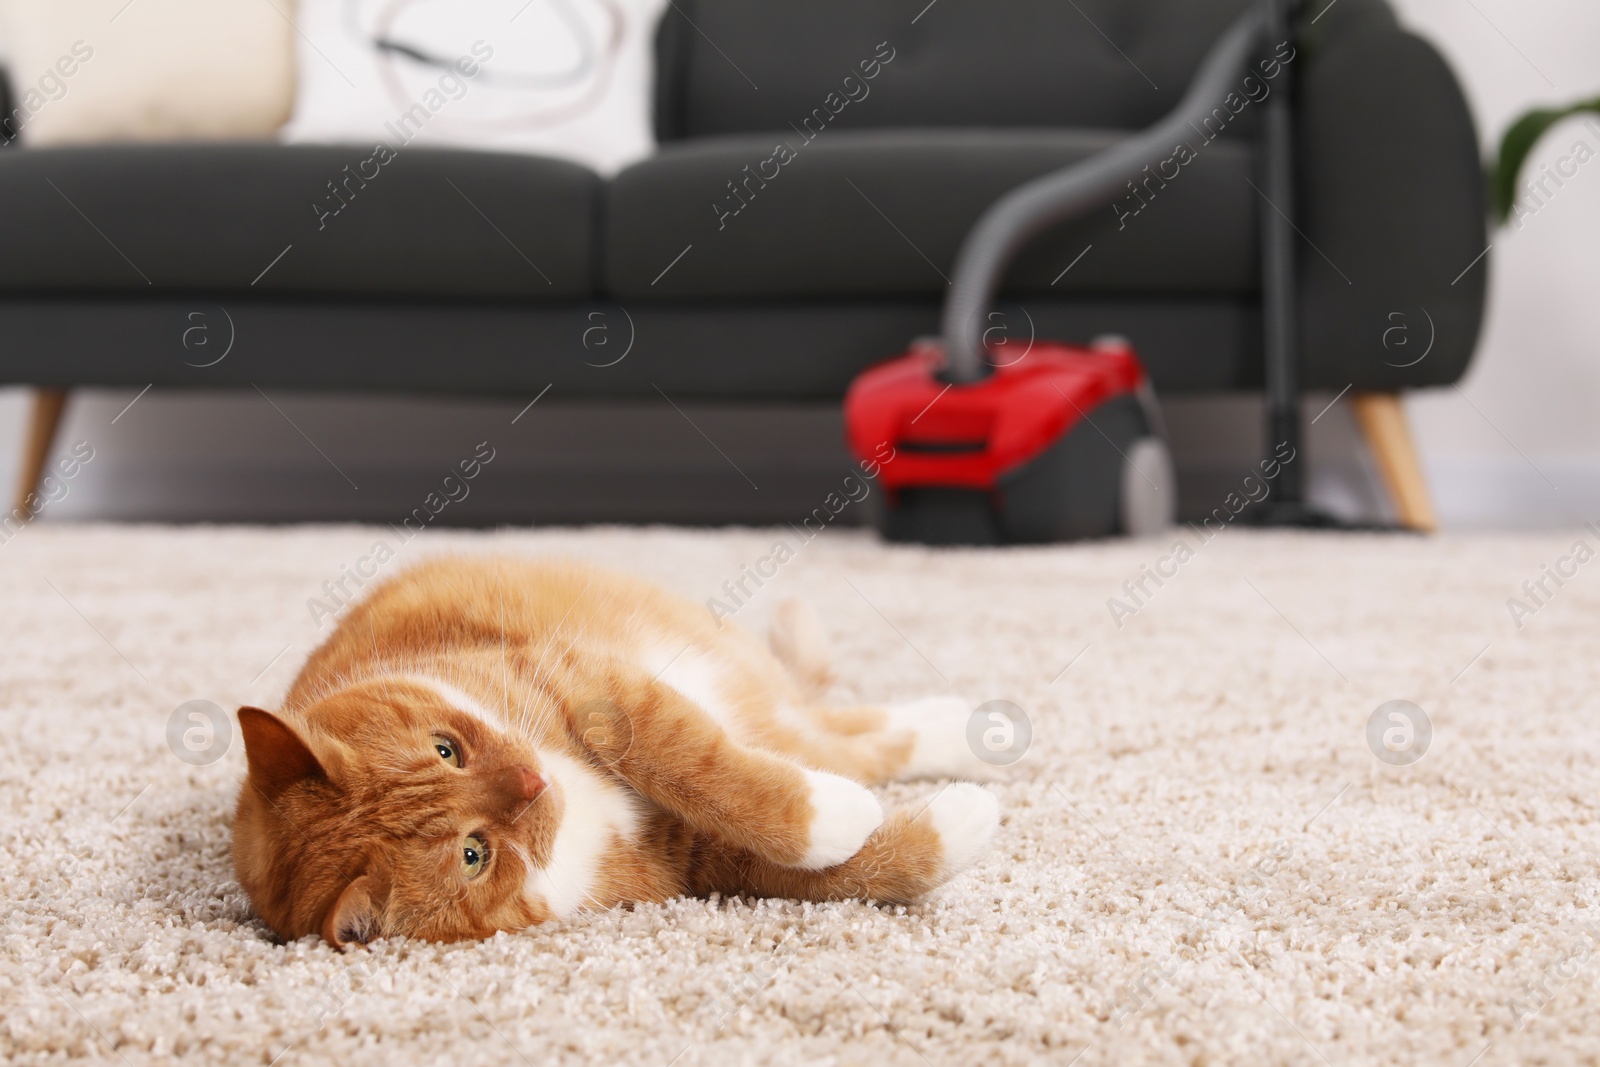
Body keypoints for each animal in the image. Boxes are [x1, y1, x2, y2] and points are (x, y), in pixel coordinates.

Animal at [228, 556, 998, 947]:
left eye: (447, 749)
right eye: (474, 854)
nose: (532, 782)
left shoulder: (597, 688)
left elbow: (702, 766)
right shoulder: (692, 859)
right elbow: (838, 867)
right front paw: (907, 822)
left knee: (836, 729)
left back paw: (971, 726)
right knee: (845, 745)